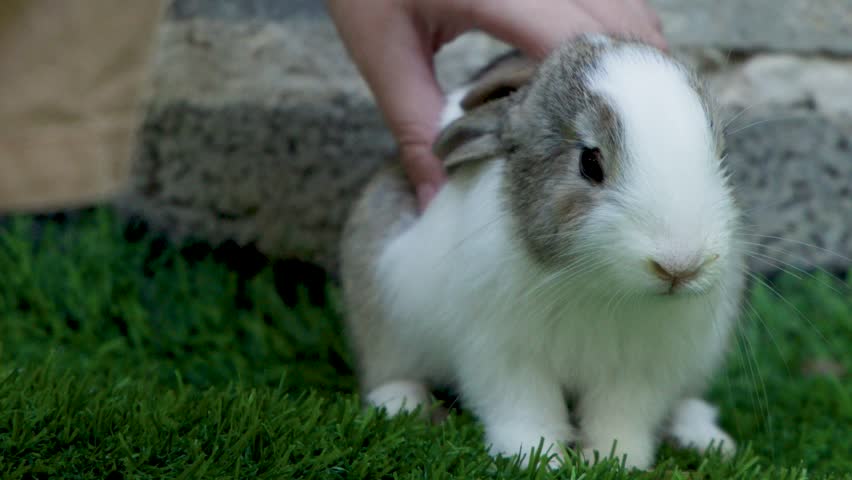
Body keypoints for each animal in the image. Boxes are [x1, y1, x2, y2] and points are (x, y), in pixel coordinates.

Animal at [340, 34, 745, 470]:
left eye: (721, 158)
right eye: (590, 162)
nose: (680, 267)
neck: (600, 288)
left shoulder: (639, 369)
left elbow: (620, 417)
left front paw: (614, 461)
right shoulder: (505, 352)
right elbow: (525, 409)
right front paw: (536, 458)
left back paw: (706, 437)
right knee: (389, 369)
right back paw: (402, 403)